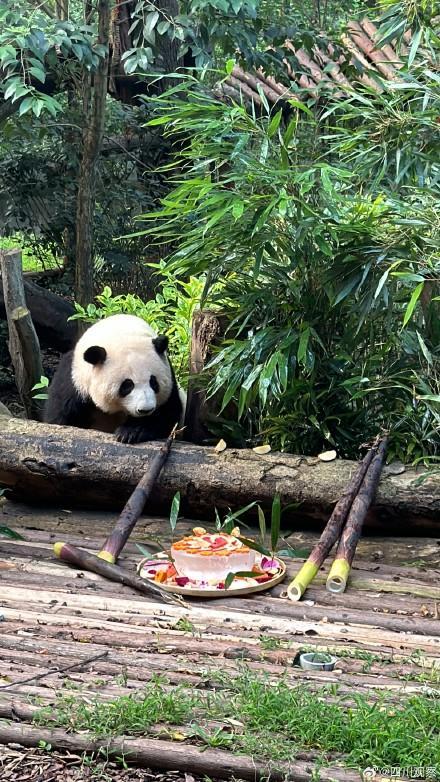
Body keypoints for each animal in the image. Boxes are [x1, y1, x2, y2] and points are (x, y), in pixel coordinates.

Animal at [45, 314, 186, 448]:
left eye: (154, 382)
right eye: (127, 385)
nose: (145, 410)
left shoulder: (171, 383)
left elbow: (167, 415)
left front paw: (131, 432)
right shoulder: (74, 381)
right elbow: (60, 418)